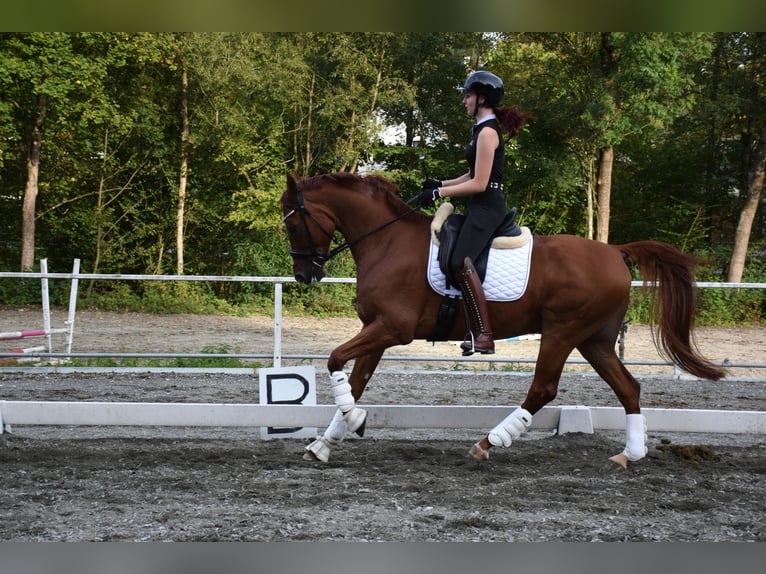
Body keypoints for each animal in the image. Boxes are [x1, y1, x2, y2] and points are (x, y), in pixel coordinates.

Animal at [280, 170, 728, 468]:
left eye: (294, 222)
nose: (304, 275)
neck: (386, 241)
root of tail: (616, 251)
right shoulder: (376, 328)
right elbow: (355, 381)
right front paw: (327, 442)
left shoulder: (393, 328)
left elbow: (336, 360)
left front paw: (354, 421)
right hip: (595, 340)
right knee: (628, 388)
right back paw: (629, 454)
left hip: (562, 331)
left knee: (544, 388)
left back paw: (489, 442)